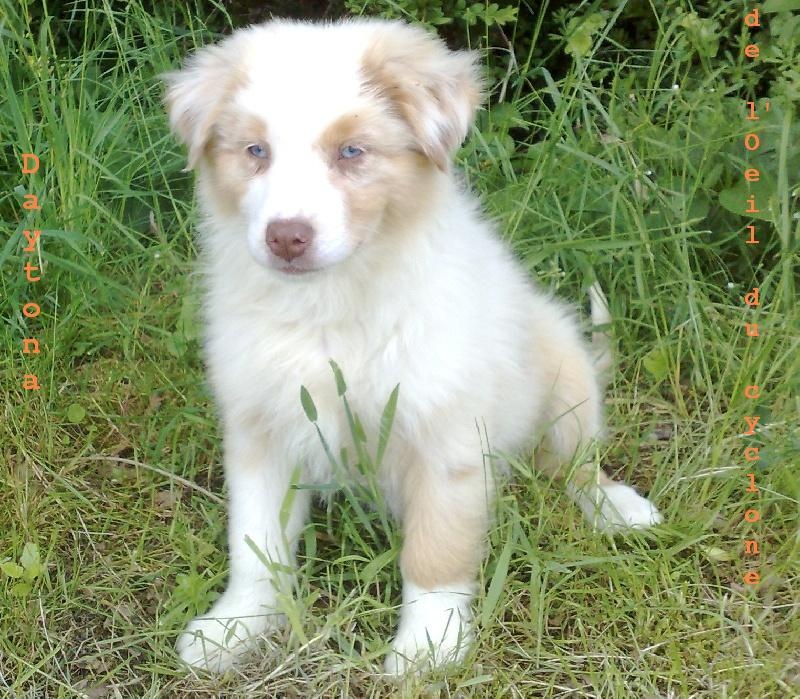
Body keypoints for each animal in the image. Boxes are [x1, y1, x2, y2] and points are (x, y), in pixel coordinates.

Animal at [164, 15, 664, 672]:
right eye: (256, 152)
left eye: (352, 152)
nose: (287, 238)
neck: (331, 304)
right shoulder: (261, 427)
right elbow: (256, 545)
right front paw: (236, 627)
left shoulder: (446, 432)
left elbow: (435, 553)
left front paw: (429, 648)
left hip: (564, 371)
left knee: (576, 466)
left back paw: (618, 509)